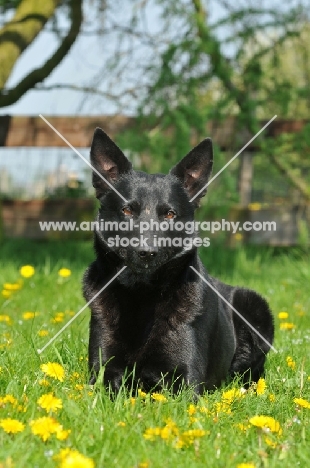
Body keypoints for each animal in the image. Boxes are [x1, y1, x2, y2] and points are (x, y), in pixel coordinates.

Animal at [83, 128, 274, 394]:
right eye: (127, 211)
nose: (147, 252)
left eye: (170, 214)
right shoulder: (101, 376)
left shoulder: (187, 382)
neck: (143, 294)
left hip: (255, 307)